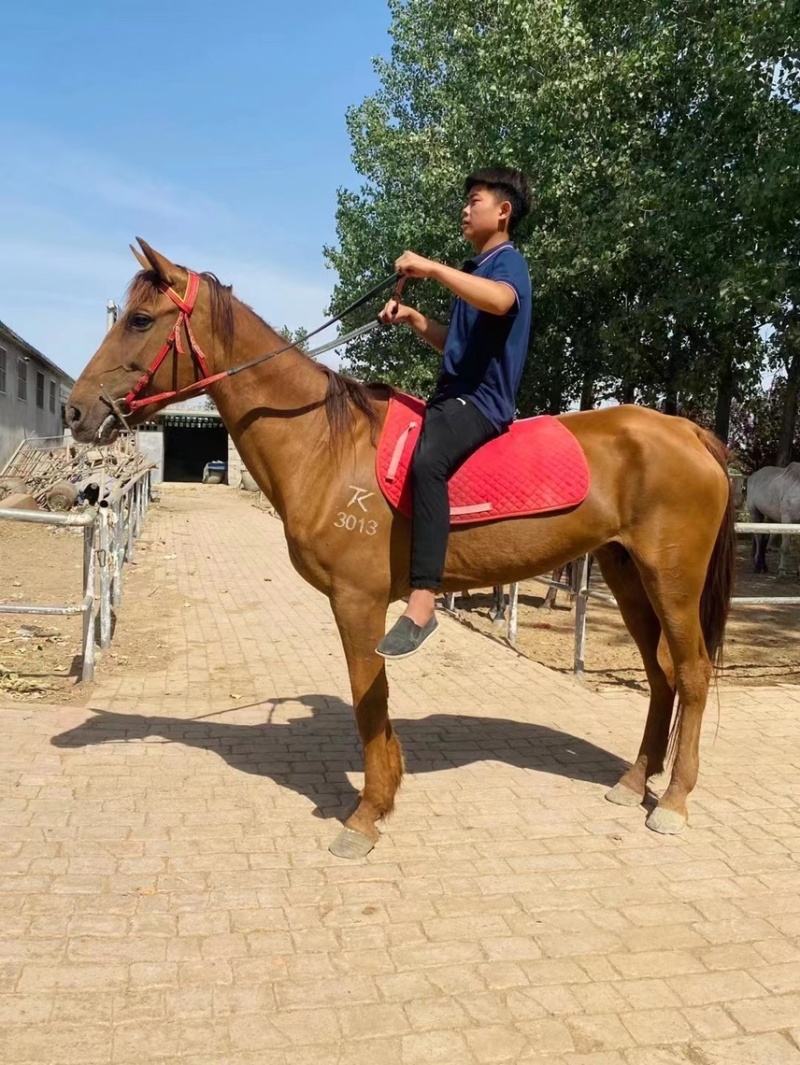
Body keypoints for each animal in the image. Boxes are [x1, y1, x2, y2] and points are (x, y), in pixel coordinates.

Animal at [66, 240, 735, 857]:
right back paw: (633, 782)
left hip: (672, 579)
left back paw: (672, 801)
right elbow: (373, 701)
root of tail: (689, 431)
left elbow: (370, 700)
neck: (326, 444)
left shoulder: (357, 602)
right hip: (627, 574)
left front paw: (366, 814)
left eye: (140, 320)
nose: (76, 411)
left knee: (693, 673)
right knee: (662, 675)